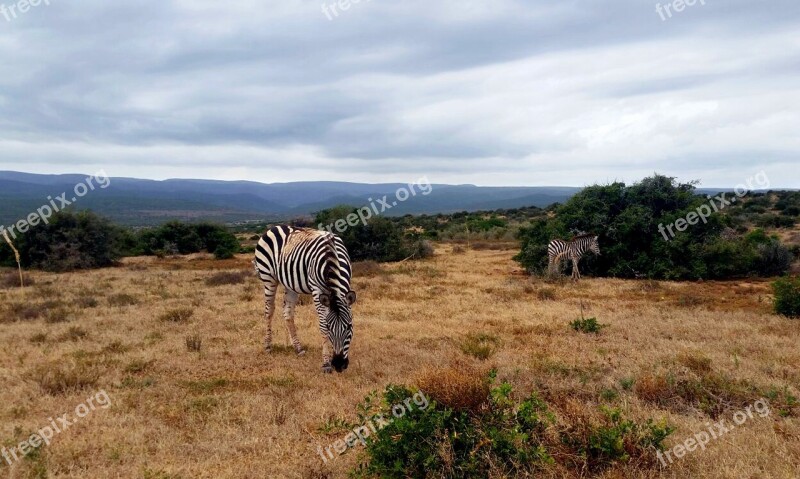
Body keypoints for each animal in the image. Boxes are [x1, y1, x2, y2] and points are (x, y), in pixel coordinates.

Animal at [255, 225, 358, 376]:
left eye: (349, 326)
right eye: (329, 327)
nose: (339, 365)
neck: (332, 258)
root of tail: (275, 227)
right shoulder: (316, 289)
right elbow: (322, 325)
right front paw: (326, 363)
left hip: (290, 284)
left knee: (287, 313)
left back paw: (298, 348)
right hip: (268, 278)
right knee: (269, 311)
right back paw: (268, 346)